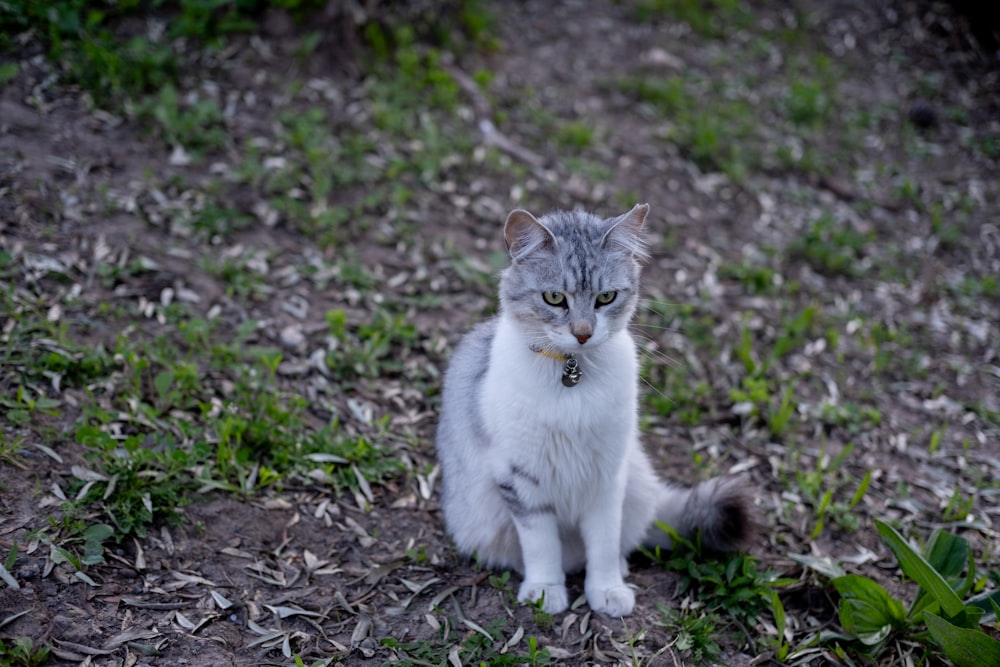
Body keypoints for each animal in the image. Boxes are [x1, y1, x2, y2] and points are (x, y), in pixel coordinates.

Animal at [434, 202, 752, 616]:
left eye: (606, 298)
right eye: (554, 297)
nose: (583, 333)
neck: (573, 374)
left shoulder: (606, 479)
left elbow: (602, 543)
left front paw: (607, 590)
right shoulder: (521, 480)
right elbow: (541, 546)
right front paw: (545, 591)